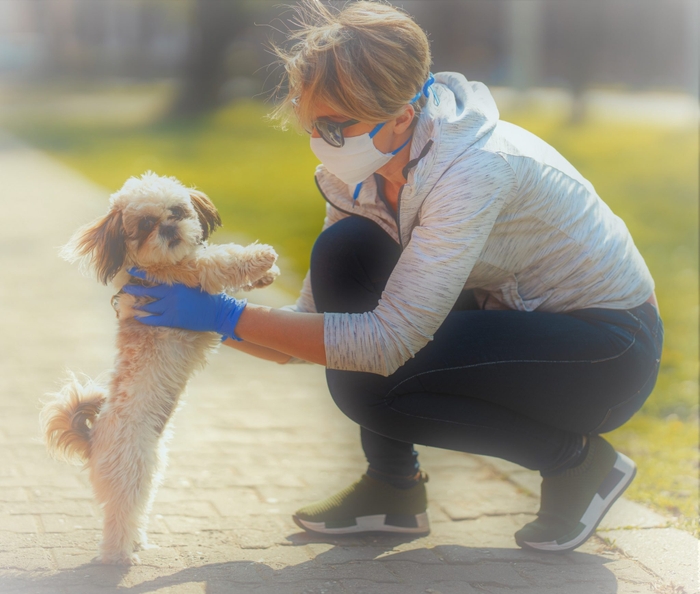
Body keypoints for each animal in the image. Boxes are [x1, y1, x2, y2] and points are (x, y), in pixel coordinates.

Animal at [39, 172, 278, 564]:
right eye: (145, 226)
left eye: (177, 211)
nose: (168, 228)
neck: (154, 267)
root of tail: (93, 439)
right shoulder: (189, 275)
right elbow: (218, 259)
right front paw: (260, 256)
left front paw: (265, 275)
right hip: (131, 472)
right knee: (118, 516)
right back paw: (121, 555)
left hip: (150, 471)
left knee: (135, 512)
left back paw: (136, 542)